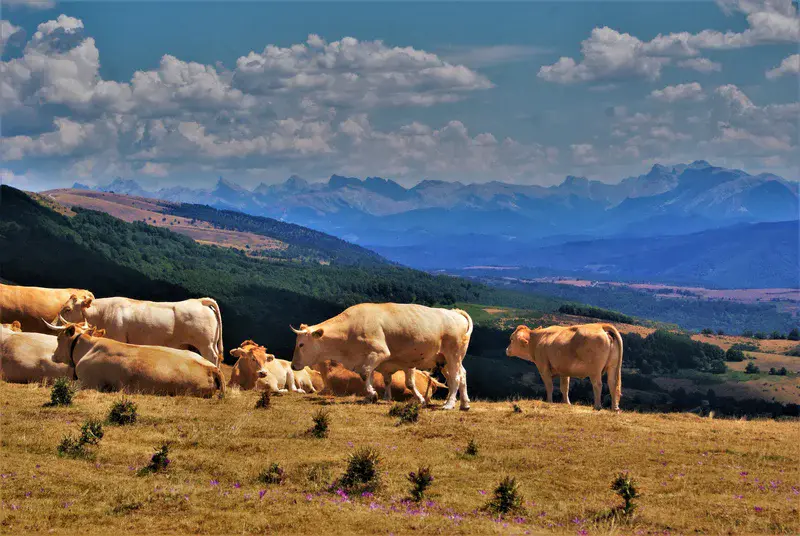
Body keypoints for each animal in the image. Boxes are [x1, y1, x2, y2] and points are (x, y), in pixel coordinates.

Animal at [57, 296, 223, 366]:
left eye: (67, 309)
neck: (103, 312)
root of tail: (199, 301)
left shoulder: (118, 337)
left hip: (205, 344)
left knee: (212, 357)